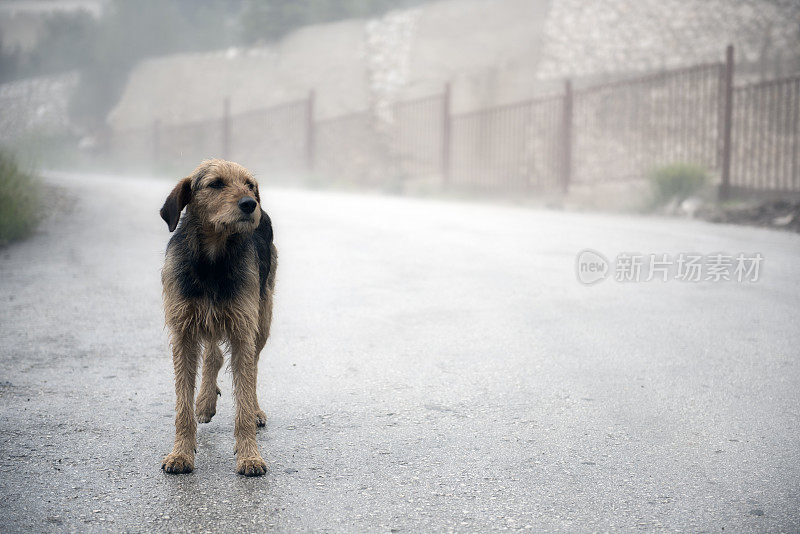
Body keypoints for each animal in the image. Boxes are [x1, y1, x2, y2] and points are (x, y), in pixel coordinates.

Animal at [159, 159, 278, 478]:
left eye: (249, 184)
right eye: (215, 184)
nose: (250, 204)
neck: (212, 258)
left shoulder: (242, 328)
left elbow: (244, 399)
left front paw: (250, 456)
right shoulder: (183, 332)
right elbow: (182, 404)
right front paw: (181, 453)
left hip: (261, 320)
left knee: (252, 367)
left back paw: (254, 409)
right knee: (213, 357)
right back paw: (204, 403)